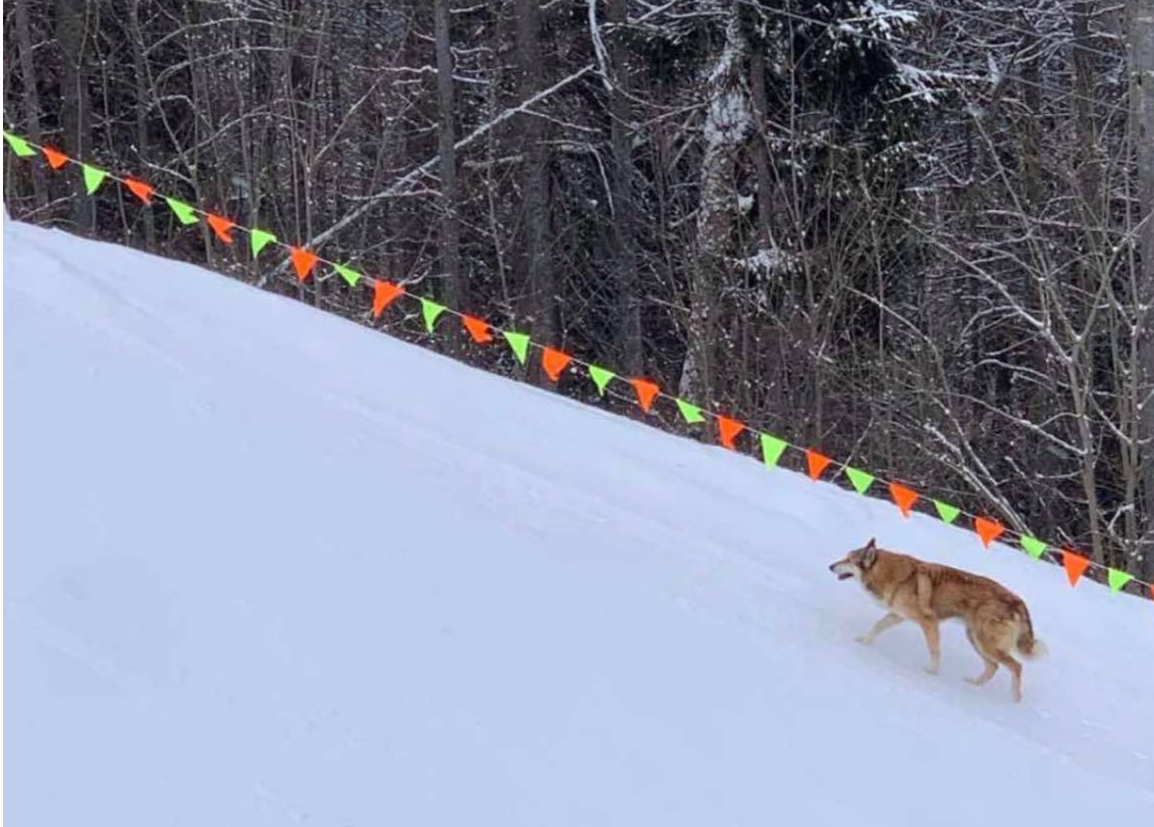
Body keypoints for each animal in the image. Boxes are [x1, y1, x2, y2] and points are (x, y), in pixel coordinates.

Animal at [830, 535, 1047, 696]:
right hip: (975, 639)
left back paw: (1015, 698)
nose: (830, 566)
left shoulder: (929, 622)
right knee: (993, 666)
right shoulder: (897, 615)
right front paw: (863, 641)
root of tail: (1017, 601)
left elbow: (934, 650)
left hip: (985, 642)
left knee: (1016, 666)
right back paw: (974, 684)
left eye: (849, 560)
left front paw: (932, 674)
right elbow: (878, 626)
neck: (896, 576)